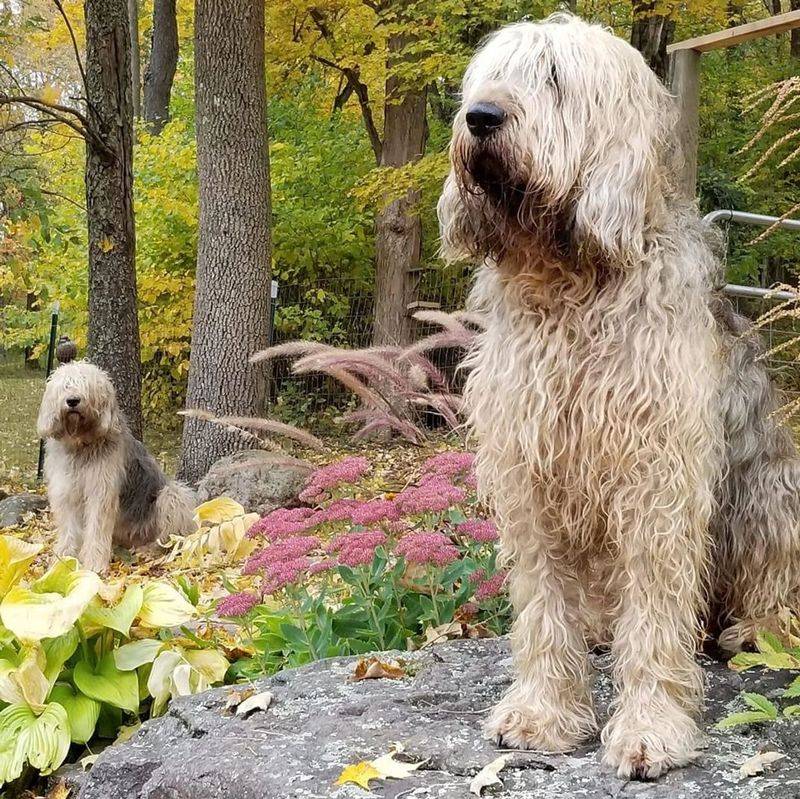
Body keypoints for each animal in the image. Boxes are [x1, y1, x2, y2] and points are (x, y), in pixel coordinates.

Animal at [39, 360, 197, 572]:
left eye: (86, 385)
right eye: (66, 386)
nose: (72, 401)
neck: (81, 446)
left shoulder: (101, 492)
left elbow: (96, 529)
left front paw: (94, 565)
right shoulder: (66, 491)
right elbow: (69, 529)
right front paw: (62, 559)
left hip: (172, 495)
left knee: (171, 538)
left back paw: (150, 550)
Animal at [440, 14, 800, 780]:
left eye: (553, 77)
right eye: (490, 75)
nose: (480, 117)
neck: (571, 284)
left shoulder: (657, 476)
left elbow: (658, 611)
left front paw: (650, 727)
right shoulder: (529, 467)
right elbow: (543, 603)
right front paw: (544, 712)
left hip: (768, 491)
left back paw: (760, 627)